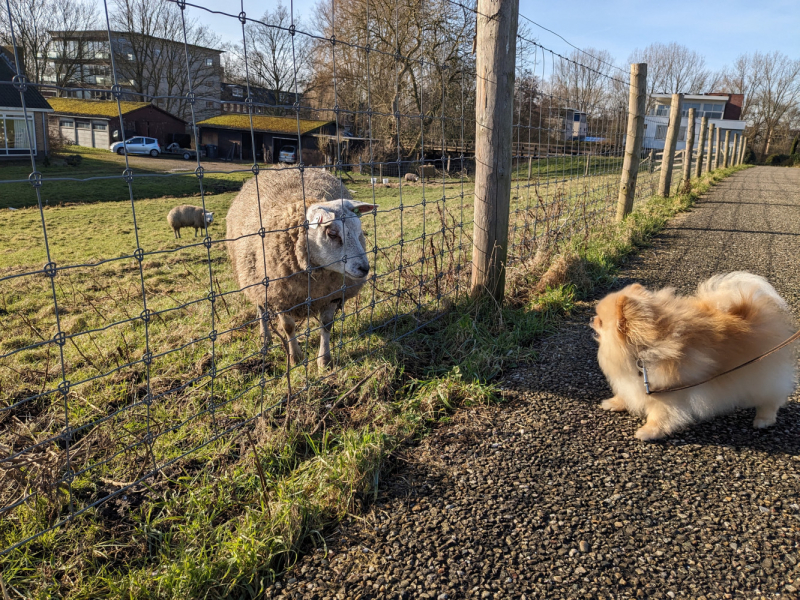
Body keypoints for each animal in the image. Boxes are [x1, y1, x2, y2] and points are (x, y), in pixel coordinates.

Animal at [223, 166, 376, 368]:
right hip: (254, 280)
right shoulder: (280, 296)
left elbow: (326, 324)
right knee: (261, 309)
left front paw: (324, 360)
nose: (364, 269)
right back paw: (265, 337)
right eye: (332, 233)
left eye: (359, 230)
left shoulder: (332, 294)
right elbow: (288, 327)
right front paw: (295, 357)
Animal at [592, 272, 796, 440]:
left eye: (601, 321)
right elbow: (626, 394)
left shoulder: (668, 392)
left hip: (759, 375)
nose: (591, 319)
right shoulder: (635, 382)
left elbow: (659, 414)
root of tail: (752, 312)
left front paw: (649, 432)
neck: (643, 350)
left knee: (772, 397)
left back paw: (764, 419)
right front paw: (614, 403)